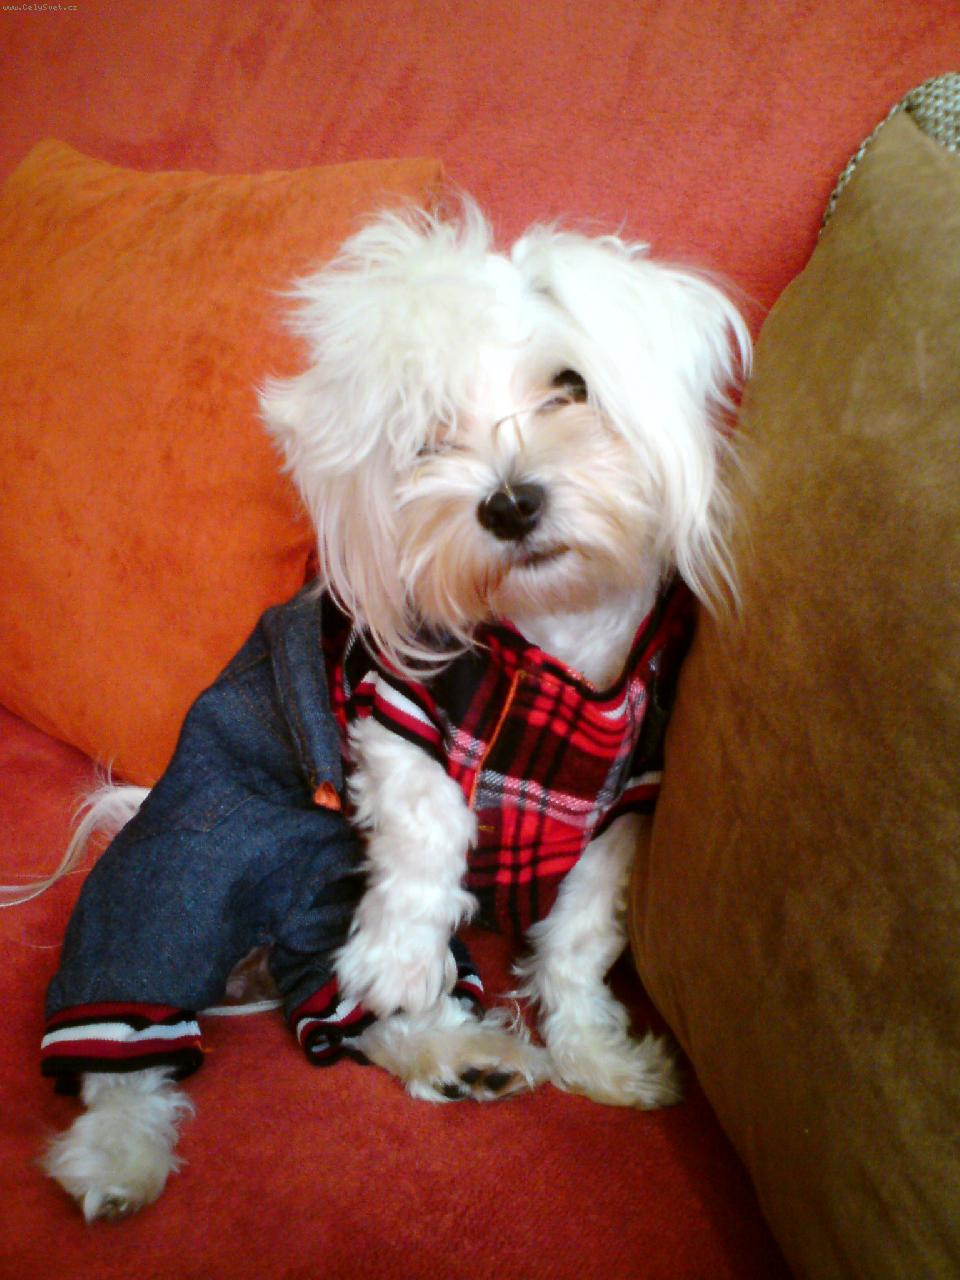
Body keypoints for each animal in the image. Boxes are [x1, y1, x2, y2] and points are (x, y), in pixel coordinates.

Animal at [28, 199, 750, 1220]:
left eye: (572, 387)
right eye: (425, 435)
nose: (510, 503)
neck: (555, 649)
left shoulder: (624, 807)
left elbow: (577, 941)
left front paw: (596, 1056)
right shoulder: (397, 713)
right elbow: (427, 830)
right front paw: (402, 958)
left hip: (317, 904)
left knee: (331, 1015)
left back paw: (462, 1054)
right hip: (190, 858)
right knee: (131, 1015)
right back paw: (118, 1155)